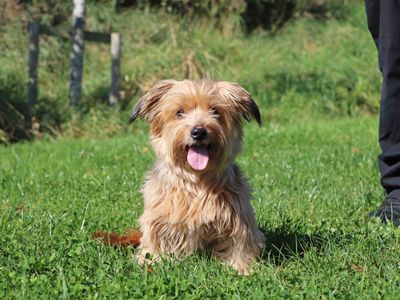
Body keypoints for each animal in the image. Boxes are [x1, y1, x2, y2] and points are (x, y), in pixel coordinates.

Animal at [129, 79, 266, 274]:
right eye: (179, 112)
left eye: (215, 111)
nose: (199, 132)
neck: (196, 180)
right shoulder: (158, 215)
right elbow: (155, 239)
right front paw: (151, 261)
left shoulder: (238, 217)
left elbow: (240, 243)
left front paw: (241, 268)